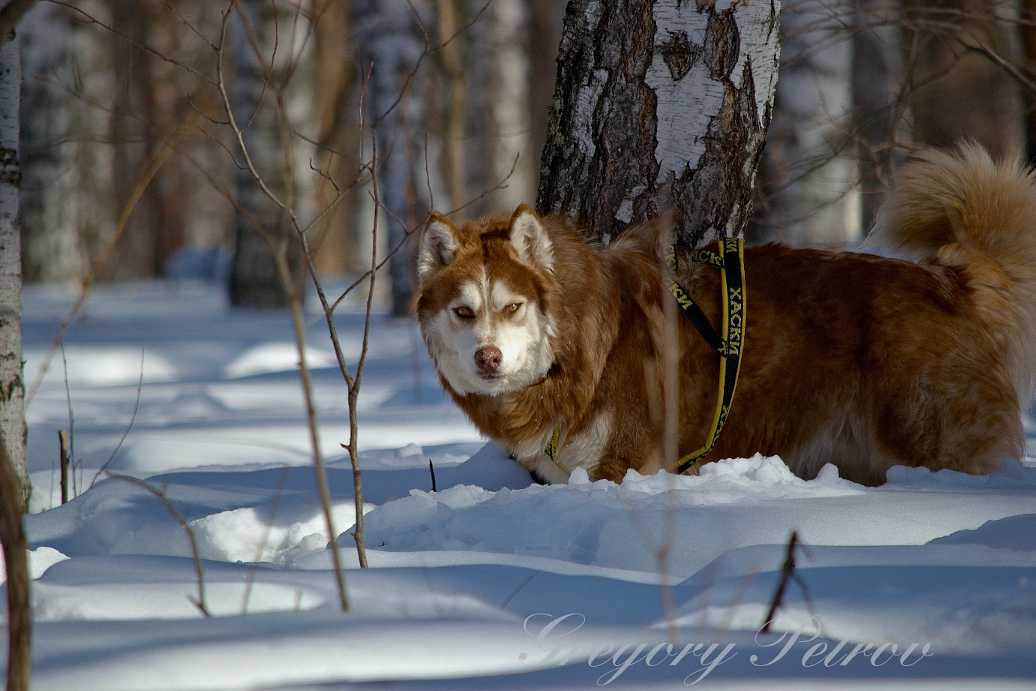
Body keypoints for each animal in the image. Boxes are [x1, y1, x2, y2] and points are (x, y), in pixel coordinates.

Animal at [416, 142, 1036, 484]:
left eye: (513, 307)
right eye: (464, 311)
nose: (488, 359)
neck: (581, 353)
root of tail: (951, 278)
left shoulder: (624, 466)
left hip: (936, 443)